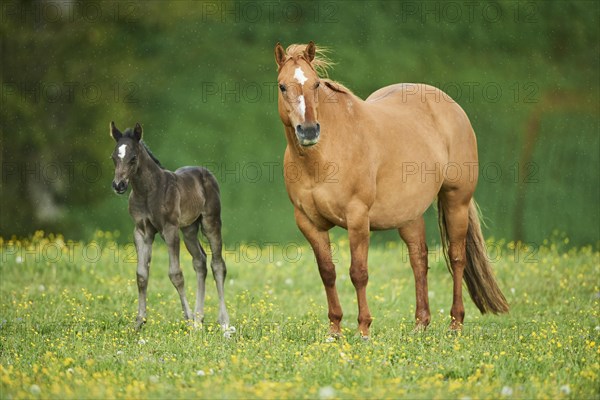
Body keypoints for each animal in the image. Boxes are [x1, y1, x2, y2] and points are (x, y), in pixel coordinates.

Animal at [109, 122, 231, 332]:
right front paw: (139, 322)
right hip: (189, 229)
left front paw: (188, 318)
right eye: (114, 157)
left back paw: (223, 322)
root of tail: (206, 172)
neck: (148, 192)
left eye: (133, 158)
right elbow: (141, 275)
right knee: (200, 262)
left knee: (217, 265)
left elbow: (176, 274)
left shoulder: (169, 229)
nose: (119, 185)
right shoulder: (141, 231)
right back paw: (199, 319)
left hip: (210, 222)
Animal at [276, 43, 506, 338]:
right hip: (408, 214)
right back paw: (420, 323)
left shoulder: (358, 218)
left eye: (316, 84)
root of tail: (450, 105)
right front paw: (335, 329)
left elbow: (358, 273)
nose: (308, 131)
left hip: (456, 200)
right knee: (419, 259)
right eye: (282, 86)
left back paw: (455, 323)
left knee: (456, 258)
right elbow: (327, 272)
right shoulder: (308, 222)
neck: (324, 156)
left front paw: (363, 328)